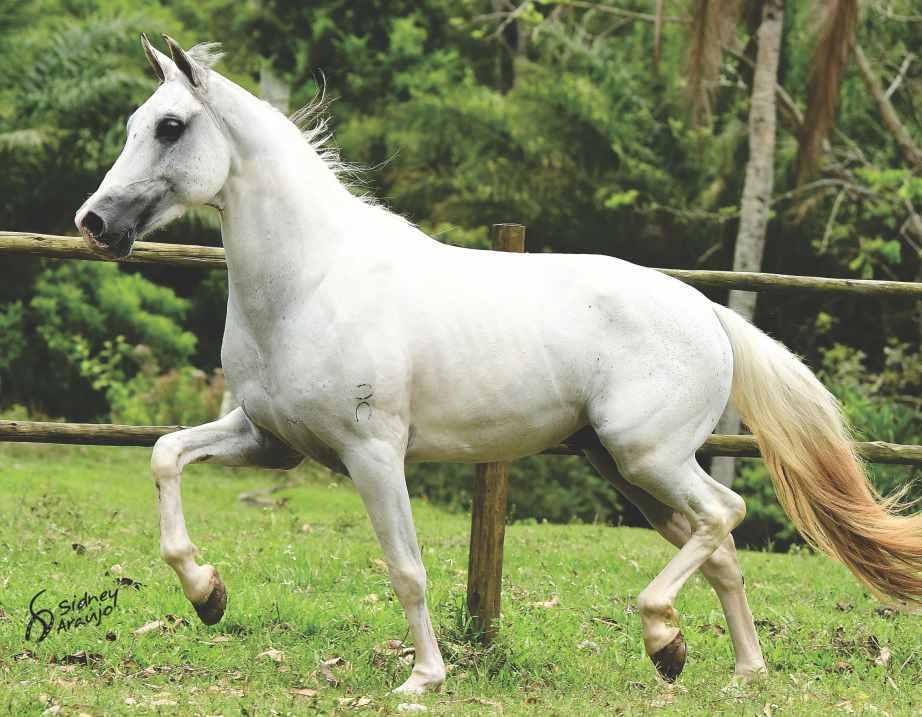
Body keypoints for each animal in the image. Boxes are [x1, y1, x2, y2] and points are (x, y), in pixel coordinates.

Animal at [75, 36, 916, 692]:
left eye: (171, 126)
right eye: (134, 124)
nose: (94, 222)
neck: (311, 281)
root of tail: (708, 312)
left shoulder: (372, 453)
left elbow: (407, 567)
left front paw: (422, 678)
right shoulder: (270, 438)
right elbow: (164, 454)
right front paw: (207, 592)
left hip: (647, 457)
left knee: (725, 515)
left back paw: (662, 636)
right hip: (624, 469)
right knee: (721, 547)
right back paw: (730, 665)